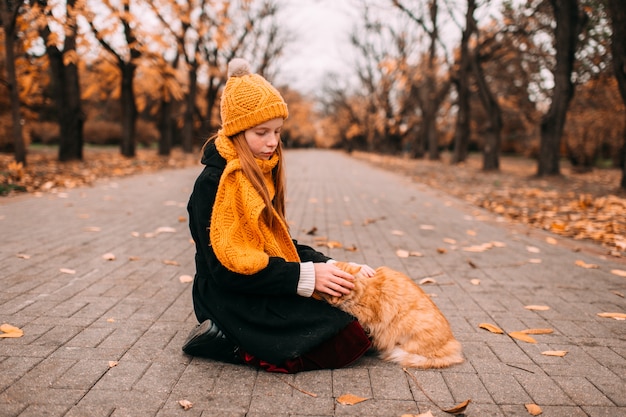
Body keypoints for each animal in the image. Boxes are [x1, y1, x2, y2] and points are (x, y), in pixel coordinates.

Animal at [320, 262, 460, 368]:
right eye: (329, 292)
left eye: (342, 293)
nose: (333, 302)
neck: (364, 289)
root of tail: (452, 342)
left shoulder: (366, 314)